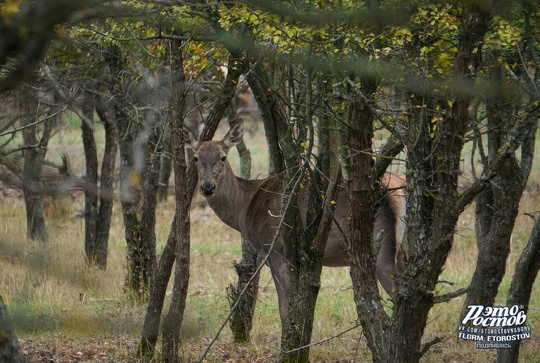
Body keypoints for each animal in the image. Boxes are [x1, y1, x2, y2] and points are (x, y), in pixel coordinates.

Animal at [190, 122, 404, 324]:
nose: (207, 187)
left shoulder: (276, 248)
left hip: (381, 245)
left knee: (399, 294)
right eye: (196, 157)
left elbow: (285, 309)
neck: (245, 209)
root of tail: (399, 188)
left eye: (223, 157)